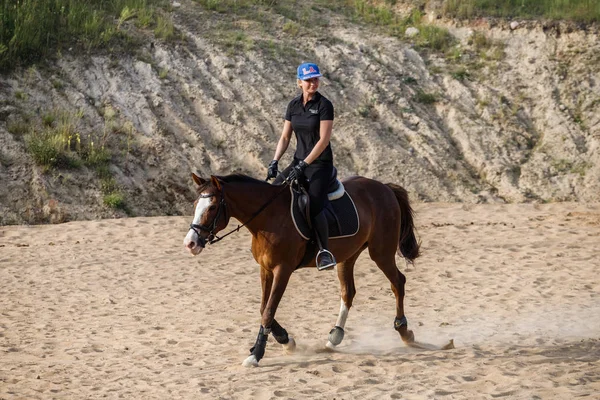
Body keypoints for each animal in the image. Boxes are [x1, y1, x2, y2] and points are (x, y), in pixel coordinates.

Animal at [183, 173, 422, 368]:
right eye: (195, 204)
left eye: (212, 207)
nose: (190, 243)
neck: (267, 218)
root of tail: (385, 187)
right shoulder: (265, 269)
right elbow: (263, 308)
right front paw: (286, 340)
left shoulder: (283, 269)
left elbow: (268, 310)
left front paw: (257, 354)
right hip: (348, 256)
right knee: (348, 292)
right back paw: (334, 337)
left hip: (381, 252)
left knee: (398, 282)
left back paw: (404, 331)